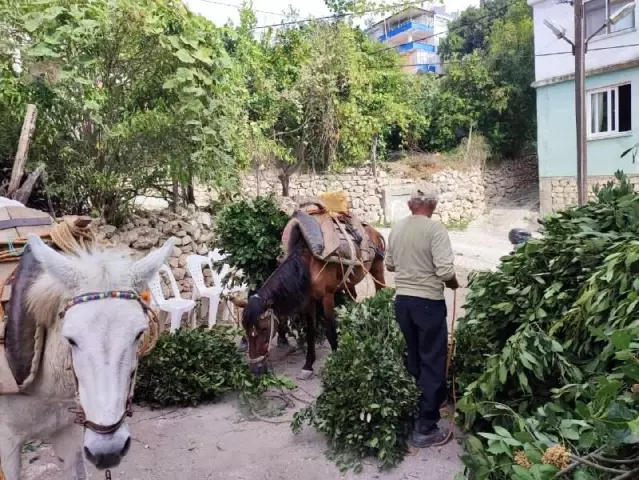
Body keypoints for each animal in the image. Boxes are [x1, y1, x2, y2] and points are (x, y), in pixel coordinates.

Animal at [235, 223, 384, 376]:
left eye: (264, 328)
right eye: (245, 328)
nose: (255, 369)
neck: (307, 267)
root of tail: (374, 231)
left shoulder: (327, 297)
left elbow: (330, 331)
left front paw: (335, 361)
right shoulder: (309, 301)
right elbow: (310, 331)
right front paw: (308, 365)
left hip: (377, 268)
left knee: (381, 291)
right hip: (349, 282)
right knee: (352, 299)